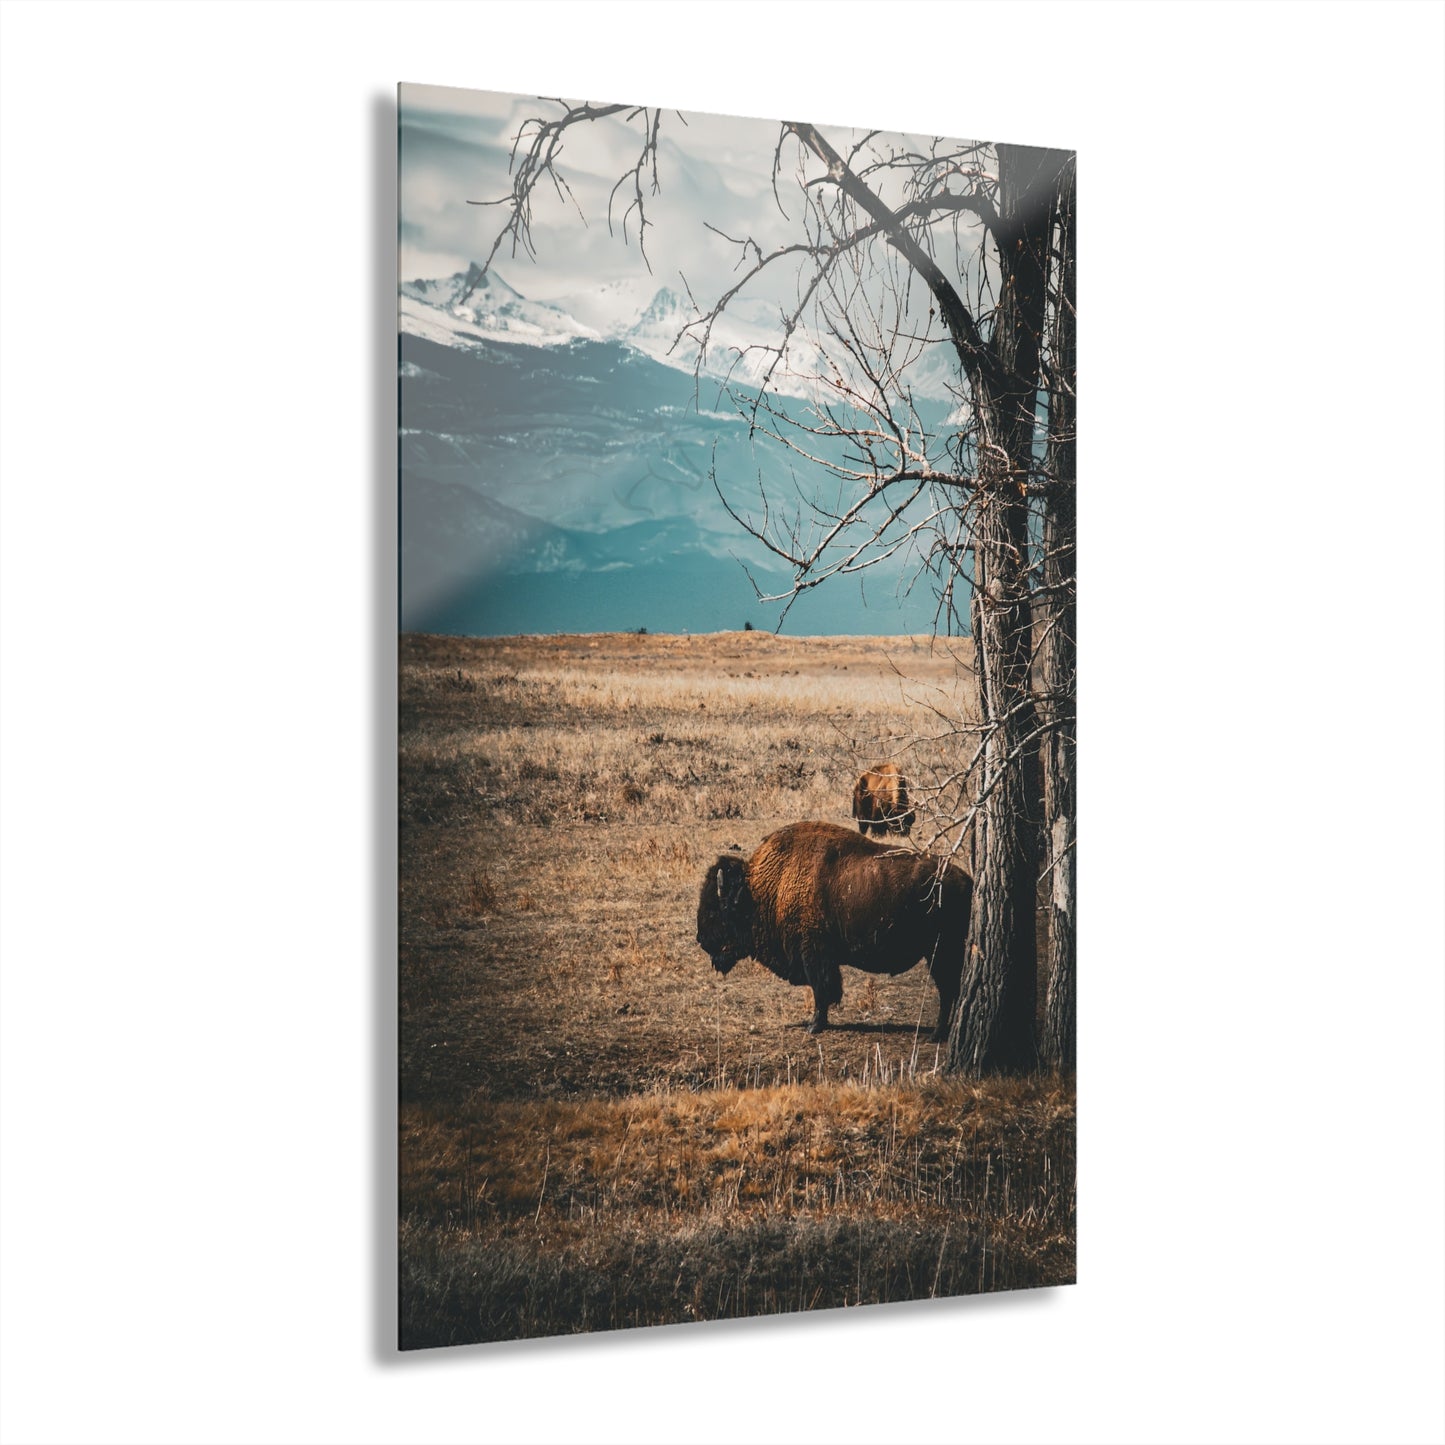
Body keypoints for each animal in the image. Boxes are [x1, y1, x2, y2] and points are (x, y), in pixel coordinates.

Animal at [696, 820, 970, 1040]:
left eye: (715, 909)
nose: (701, 939)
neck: (763, 888)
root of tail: (965, 880)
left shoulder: (814, 953)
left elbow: (822, 990)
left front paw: (814, 1026)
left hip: (939, 953)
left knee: (948, 990)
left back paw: (936, 1035)